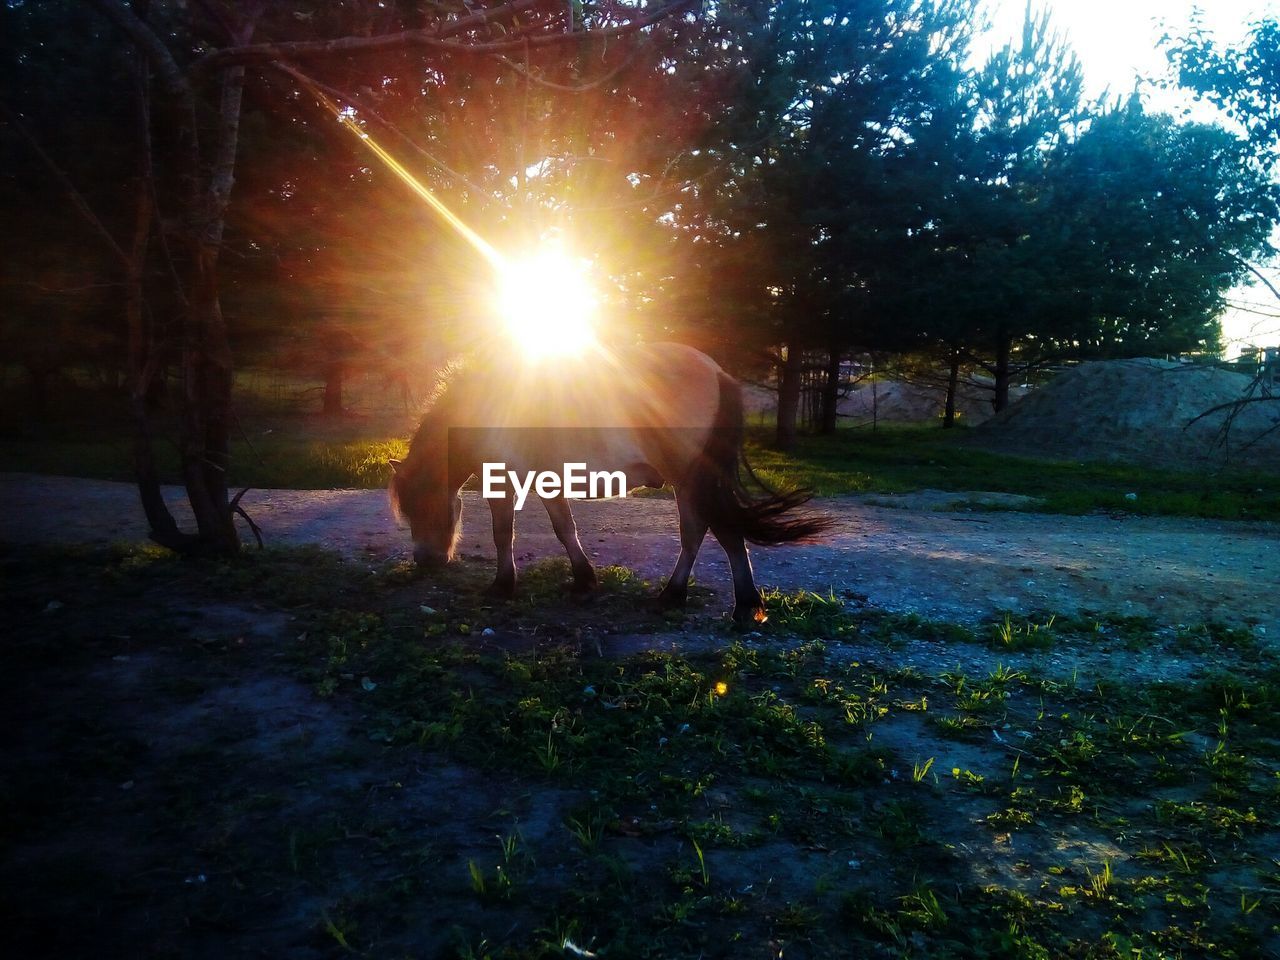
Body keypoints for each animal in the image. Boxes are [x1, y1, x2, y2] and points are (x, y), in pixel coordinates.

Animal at [386, 343, 829, 627]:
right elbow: (565, 529)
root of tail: (719, 373)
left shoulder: (504, 480)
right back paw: (683, 596)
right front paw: (583, 581)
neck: (483, 405)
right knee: (702, 532)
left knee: (715, 531)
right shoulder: (547, 481)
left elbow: (502, 534)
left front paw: (502, 585)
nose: (425, 561)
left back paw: (734, 603)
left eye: (424, 504)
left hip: (691, 479)